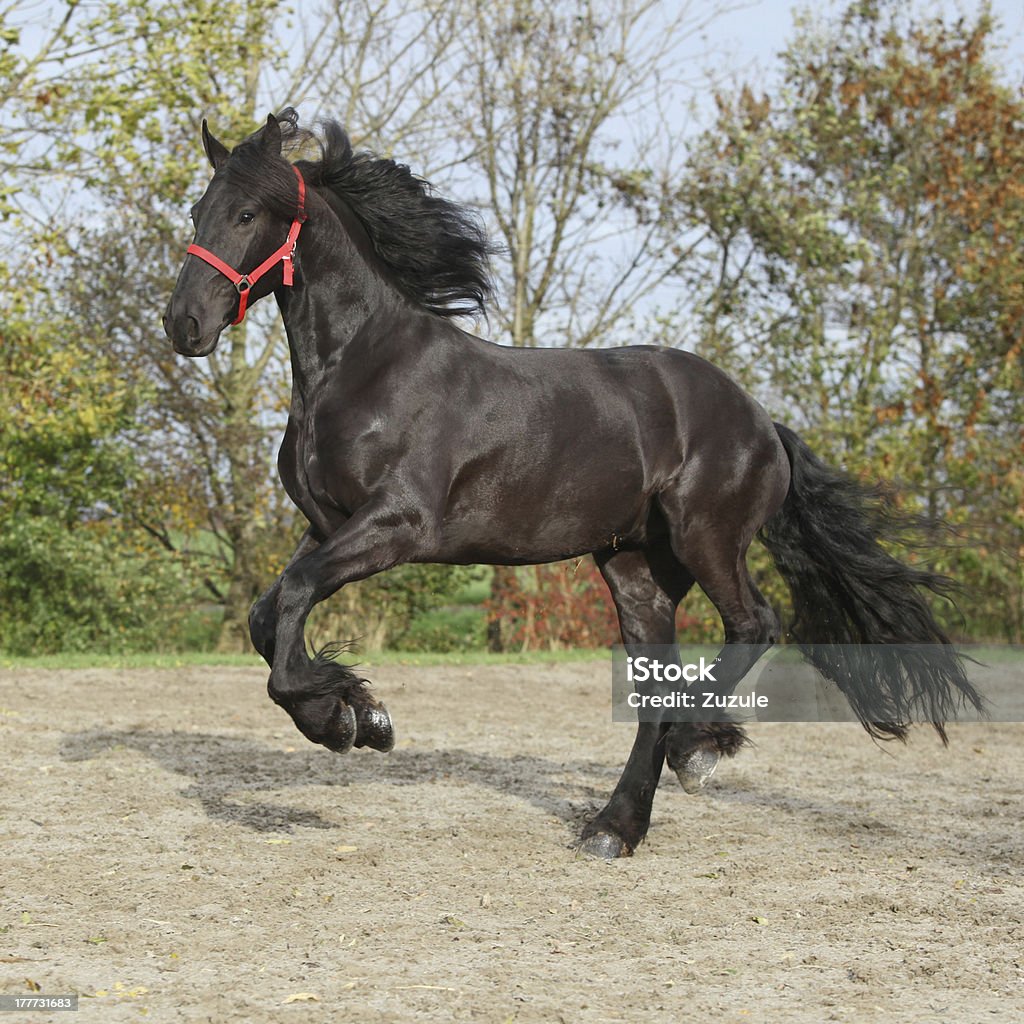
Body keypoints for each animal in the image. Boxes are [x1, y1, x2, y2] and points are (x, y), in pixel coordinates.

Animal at [163, 110, 978, 856]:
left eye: (247, 214)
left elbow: (293, 604)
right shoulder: (328, 526)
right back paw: (615, 826)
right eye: (199, 210)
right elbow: (267, 616)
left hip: (707, 538)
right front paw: (360, 715)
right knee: (656, 688)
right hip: (636, 568)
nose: (184, 324)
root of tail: (763, 419)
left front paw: (342, 720)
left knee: (755, 625)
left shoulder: (397, 526)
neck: (361, 367)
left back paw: (698, 750)